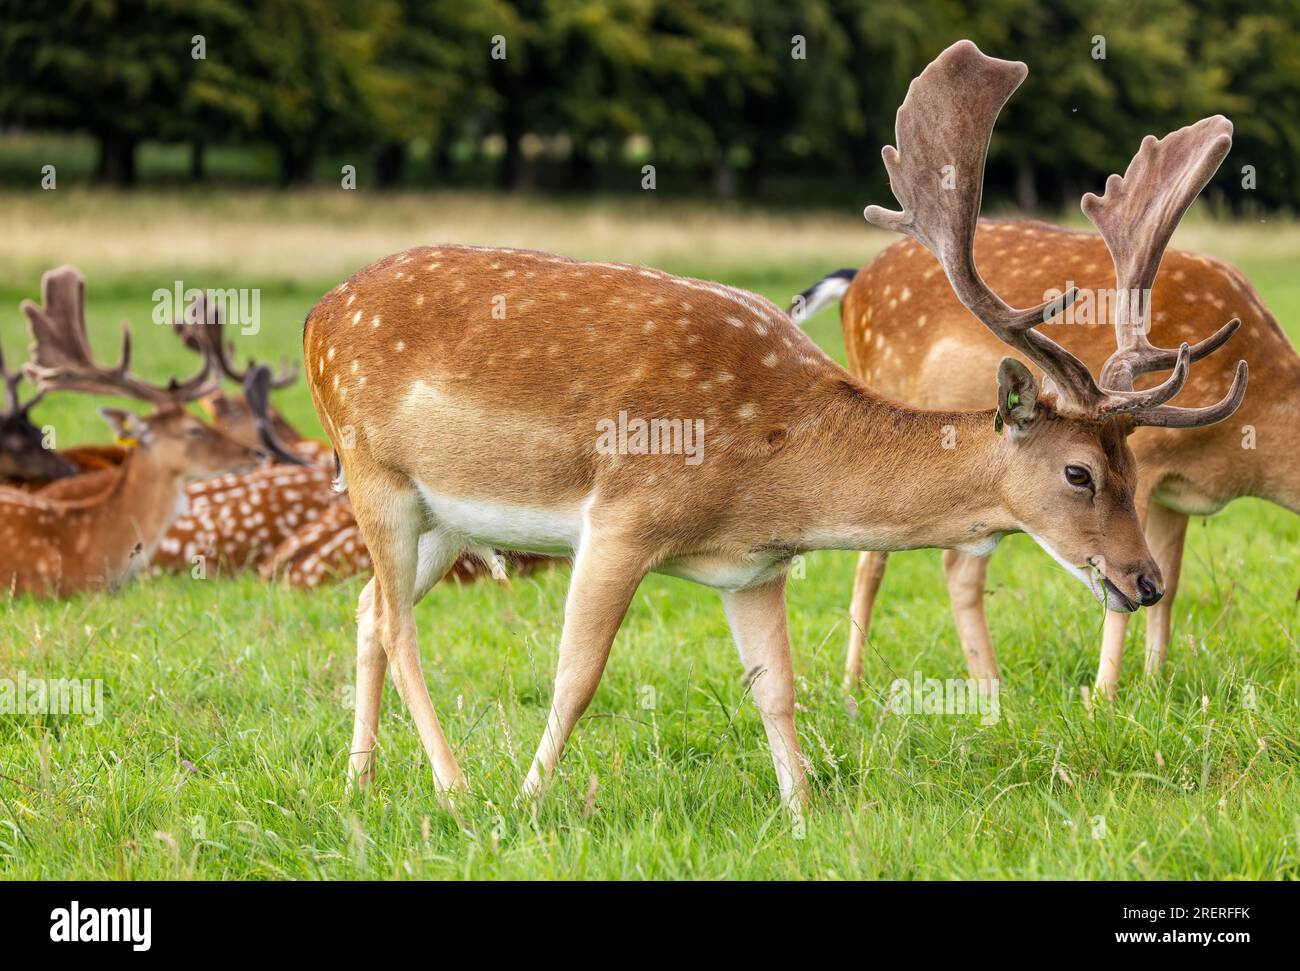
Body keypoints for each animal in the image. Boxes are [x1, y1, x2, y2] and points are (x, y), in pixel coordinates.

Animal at [300, 41, 1246, 809]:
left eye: (1134, 467)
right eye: (1079, 471)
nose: (1145, 579)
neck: (773, 471)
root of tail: (316, 316)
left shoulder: (754, 567)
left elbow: (778, 687)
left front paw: (801, 806)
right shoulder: (622, 517)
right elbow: (577, 676)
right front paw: (531, 801)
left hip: (446, 517)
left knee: (366, 607)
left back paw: (360, 780)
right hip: (372, 470)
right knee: (397, 623)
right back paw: (454, 788)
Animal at [798, 117, 1296, 701]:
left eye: (1126, 466)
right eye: (1080, 474)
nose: (1143, 584)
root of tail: (854, 280)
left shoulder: (1172, 490)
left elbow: (1172, 586)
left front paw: (1155, 681)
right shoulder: (1154, 463)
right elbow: (1118, 596)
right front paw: (1103, 699)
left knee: (955, 563)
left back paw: (989, 687)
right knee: (874, 558)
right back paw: (852, 687)